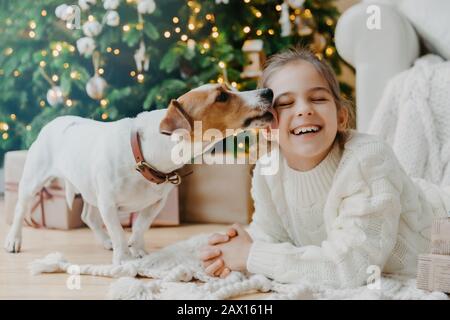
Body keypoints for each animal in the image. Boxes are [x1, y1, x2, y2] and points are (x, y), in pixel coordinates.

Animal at [4, 84, 274, 264]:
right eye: (222, 96)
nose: (268, 92)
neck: (145, 154)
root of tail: (55, 121)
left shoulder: (155, 203)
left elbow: (140, 226)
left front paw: (138, 249)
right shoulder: (109, 204)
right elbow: (118, 232)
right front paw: (124, 258)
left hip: (90, 188)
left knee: (88, 215)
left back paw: (105, 241)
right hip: (32, 181)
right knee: (19, 210)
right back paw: (13, 240)